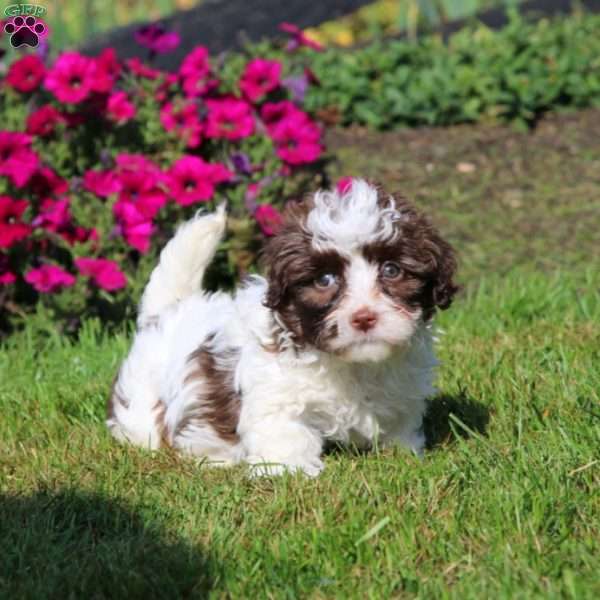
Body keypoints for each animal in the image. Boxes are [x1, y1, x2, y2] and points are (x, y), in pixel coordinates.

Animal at [108, 180, 458, 476]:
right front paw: (288, 471)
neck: (352, 365)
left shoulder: (402, 391)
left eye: (392, 270)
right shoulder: (276, 392)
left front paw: (403, 454)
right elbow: (285, 431)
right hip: (142, 399)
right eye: (324, 280)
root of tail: (170, 310)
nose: (364, 317)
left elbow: (399, 423)